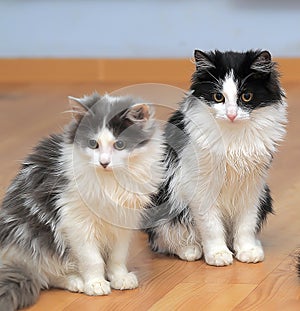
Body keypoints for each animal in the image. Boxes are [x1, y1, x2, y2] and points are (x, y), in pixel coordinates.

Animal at [0, 93, 164, 311]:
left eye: (119, 145)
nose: (104, 162)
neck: (110, 182)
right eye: (93, 144)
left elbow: (117, 256)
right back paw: (76, 281)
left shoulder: (124, 221)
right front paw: (95, 283)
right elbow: (92, 259)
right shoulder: (77, 222)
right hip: (35, 240)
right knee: (46, 275)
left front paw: (119, 278)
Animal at [145, 50, 288, 266]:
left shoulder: (252, 186)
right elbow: (211, 227)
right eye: (218, 97)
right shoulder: (202, 186)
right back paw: (190, 250)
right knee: (164, 239)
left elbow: (246, 223)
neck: (232, 138)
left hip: (265, 195)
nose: (231, 114)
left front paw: (247, 251)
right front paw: (217, 254)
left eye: (246, 96)